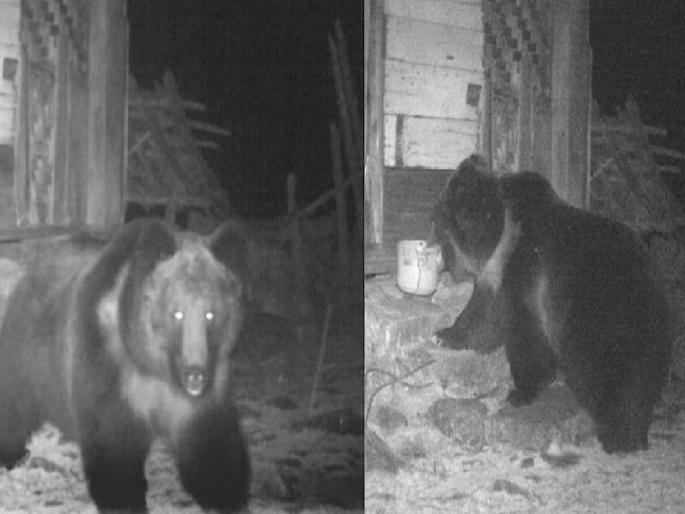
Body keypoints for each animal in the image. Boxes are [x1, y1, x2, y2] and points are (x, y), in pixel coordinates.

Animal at [0, 218, 250, 513]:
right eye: (176, 312)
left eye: (211, 314)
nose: (195, 372)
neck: (154, 366)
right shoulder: (109, 366)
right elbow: (113, 442)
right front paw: (123, 498)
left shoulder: (203, 391)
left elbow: (210, 442)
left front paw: (226, 493)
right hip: (29, 350)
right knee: (13, 400)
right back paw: (11, 451)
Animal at [432, 156, 673, 453]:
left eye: (442, 229)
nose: (446, 263)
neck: (502, 233)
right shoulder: (499, 275)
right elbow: (482, 317)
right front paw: (444, 334)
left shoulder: (525, 273)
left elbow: (522, 333)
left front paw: (520, 392)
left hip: (597, 315)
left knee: (596, 370)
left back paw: (617, 433)